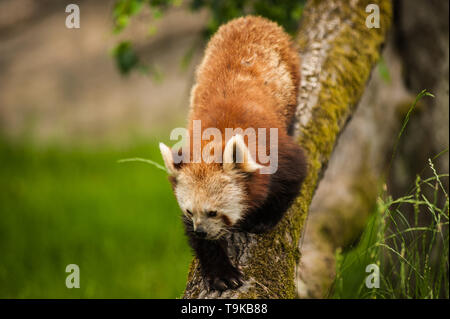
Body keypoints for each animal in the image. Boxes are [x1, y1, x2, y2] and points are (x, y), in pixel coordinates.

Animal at [160, 16, 308, 292]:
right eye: (190, 212)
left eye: (213, 212)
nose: (201, 231)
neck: (216, 138)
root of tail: (253, 19)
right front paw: (221, 273)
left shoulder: (277, 152)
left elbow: (293, 178)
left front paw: (263, 219)